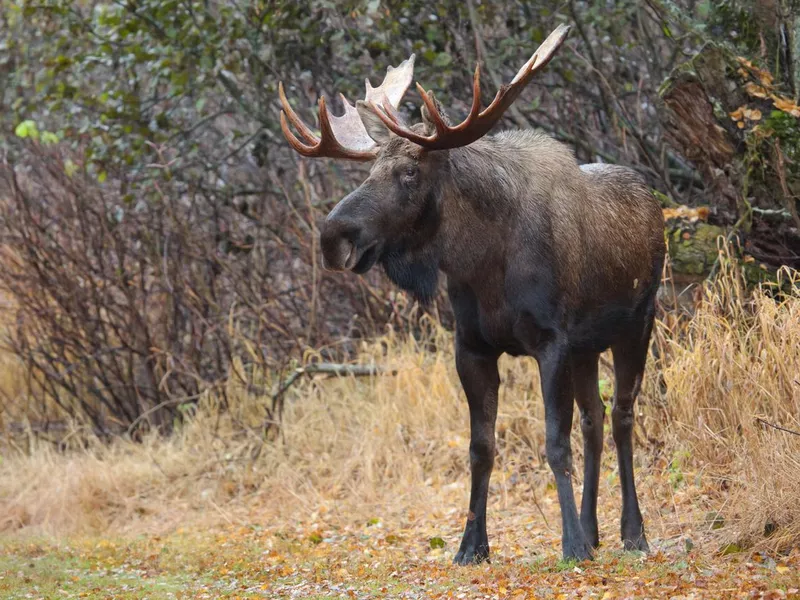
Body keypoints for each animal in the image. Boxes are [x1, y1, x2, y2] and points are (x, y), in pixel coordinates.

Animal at [278, 24, 664, 568]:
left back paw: (632, 533)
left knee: (623, 415)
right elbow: (481, 448)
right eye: (369, 172)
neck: (482, 265)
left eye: (410, 173)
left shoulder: (551, 342)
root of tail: (655, 205)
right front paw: (472, 545)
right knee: (594, 419)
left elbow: (554, 442)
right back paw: (593, 532)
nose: (333, 237)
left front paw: (568, 544)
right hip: (588, 348)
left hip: (637, 324)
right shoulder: (473, 347)